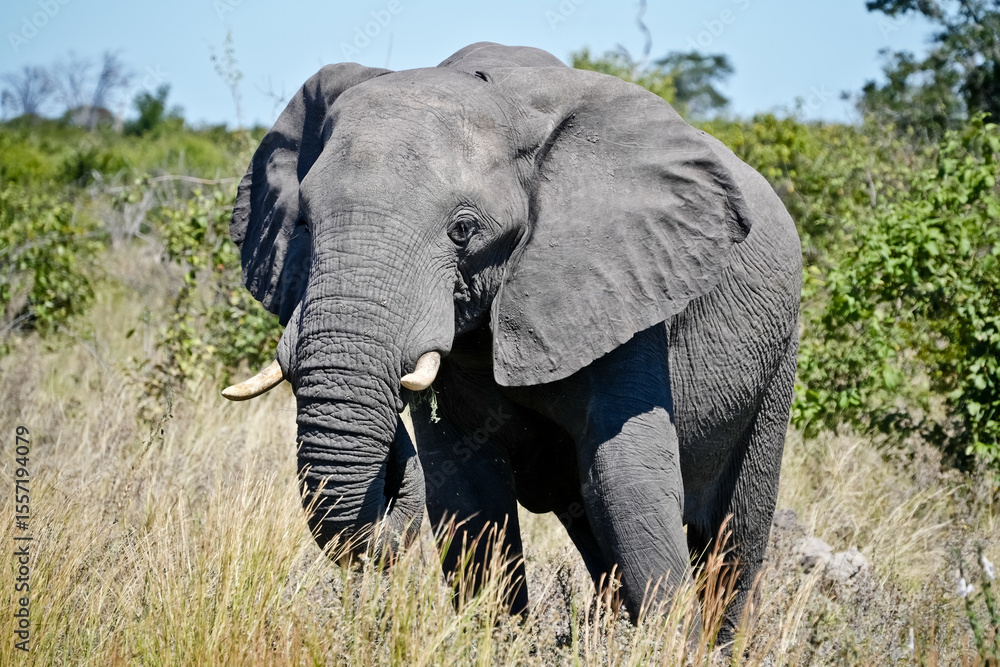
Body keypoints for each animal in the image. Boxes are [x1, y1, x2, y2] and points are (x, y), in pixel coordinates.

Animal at [222, 42, 801, 641]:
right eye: (305, 225)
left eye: (462, 229)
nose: (393, 465)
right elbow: (466, 489)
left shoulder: (622, 282)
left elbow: (626, 479)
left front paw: (667, 644)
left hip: (778, 356)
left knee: (734, 537)